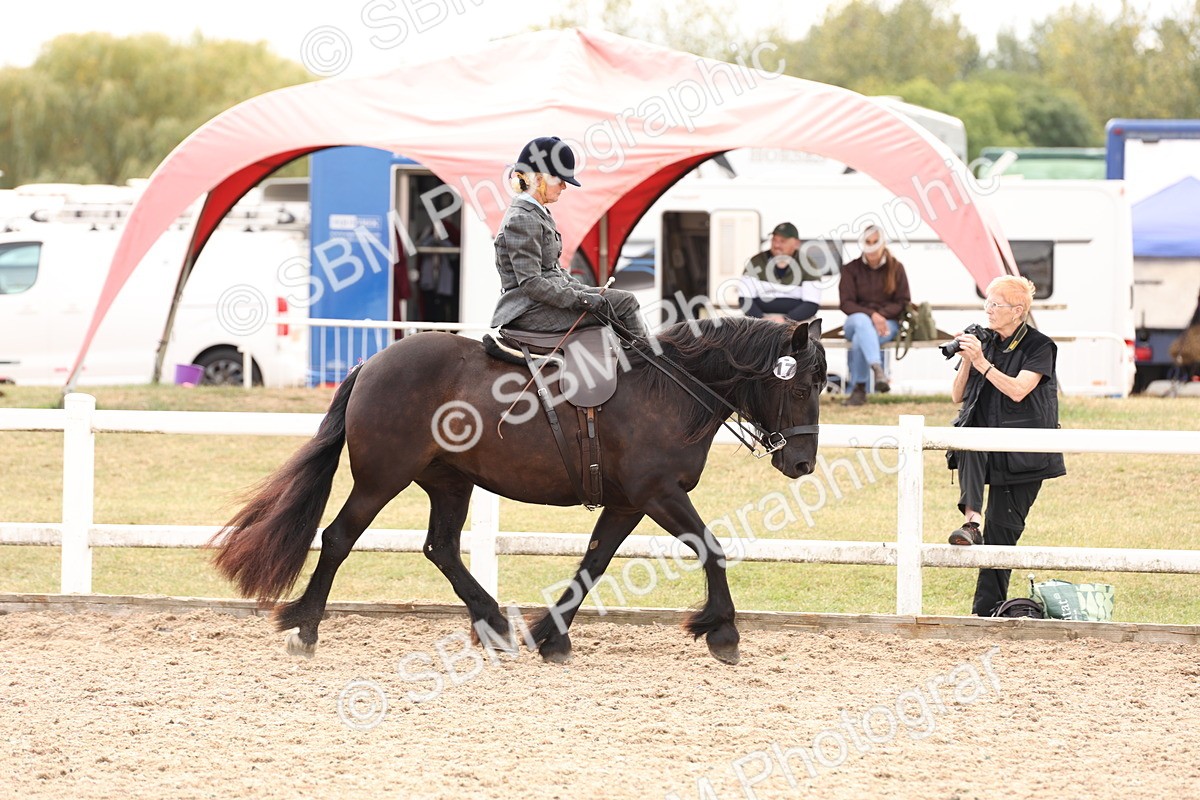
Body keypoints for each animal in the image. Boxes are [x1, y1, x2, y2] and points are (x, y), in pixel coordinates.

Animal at [211, 316, 826, 664]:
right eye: (798, 386)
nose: (802, 462)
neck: (668, 389)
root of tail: (373, 362)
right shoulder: (659, 494)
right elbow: (711, 549)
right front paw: (723, 632)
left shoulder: (628, 502)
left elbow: (594, 563)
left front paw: (550, 636)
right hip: (382, 478)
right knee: (339, 537)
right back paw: (306, 629)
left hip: (450, 482)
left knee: (441, 548)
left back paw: (494, 623)